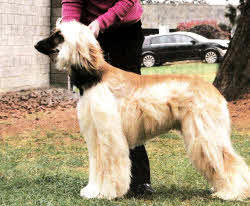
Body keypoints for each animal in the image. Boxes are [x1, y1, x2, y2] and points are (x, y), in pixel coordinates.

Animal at [35, 20, 250, 200]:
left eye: (59, 36)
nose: (37, 44)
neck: (96, 77)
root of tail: (214, 90)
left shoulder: (109, 135)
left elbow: (110, 165)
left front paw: (107, 192)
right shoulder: (96, 134)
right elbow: (97, 165)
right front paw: (93, 190)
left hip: (206, 133)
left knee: (228, 160)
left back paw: (233, 192)